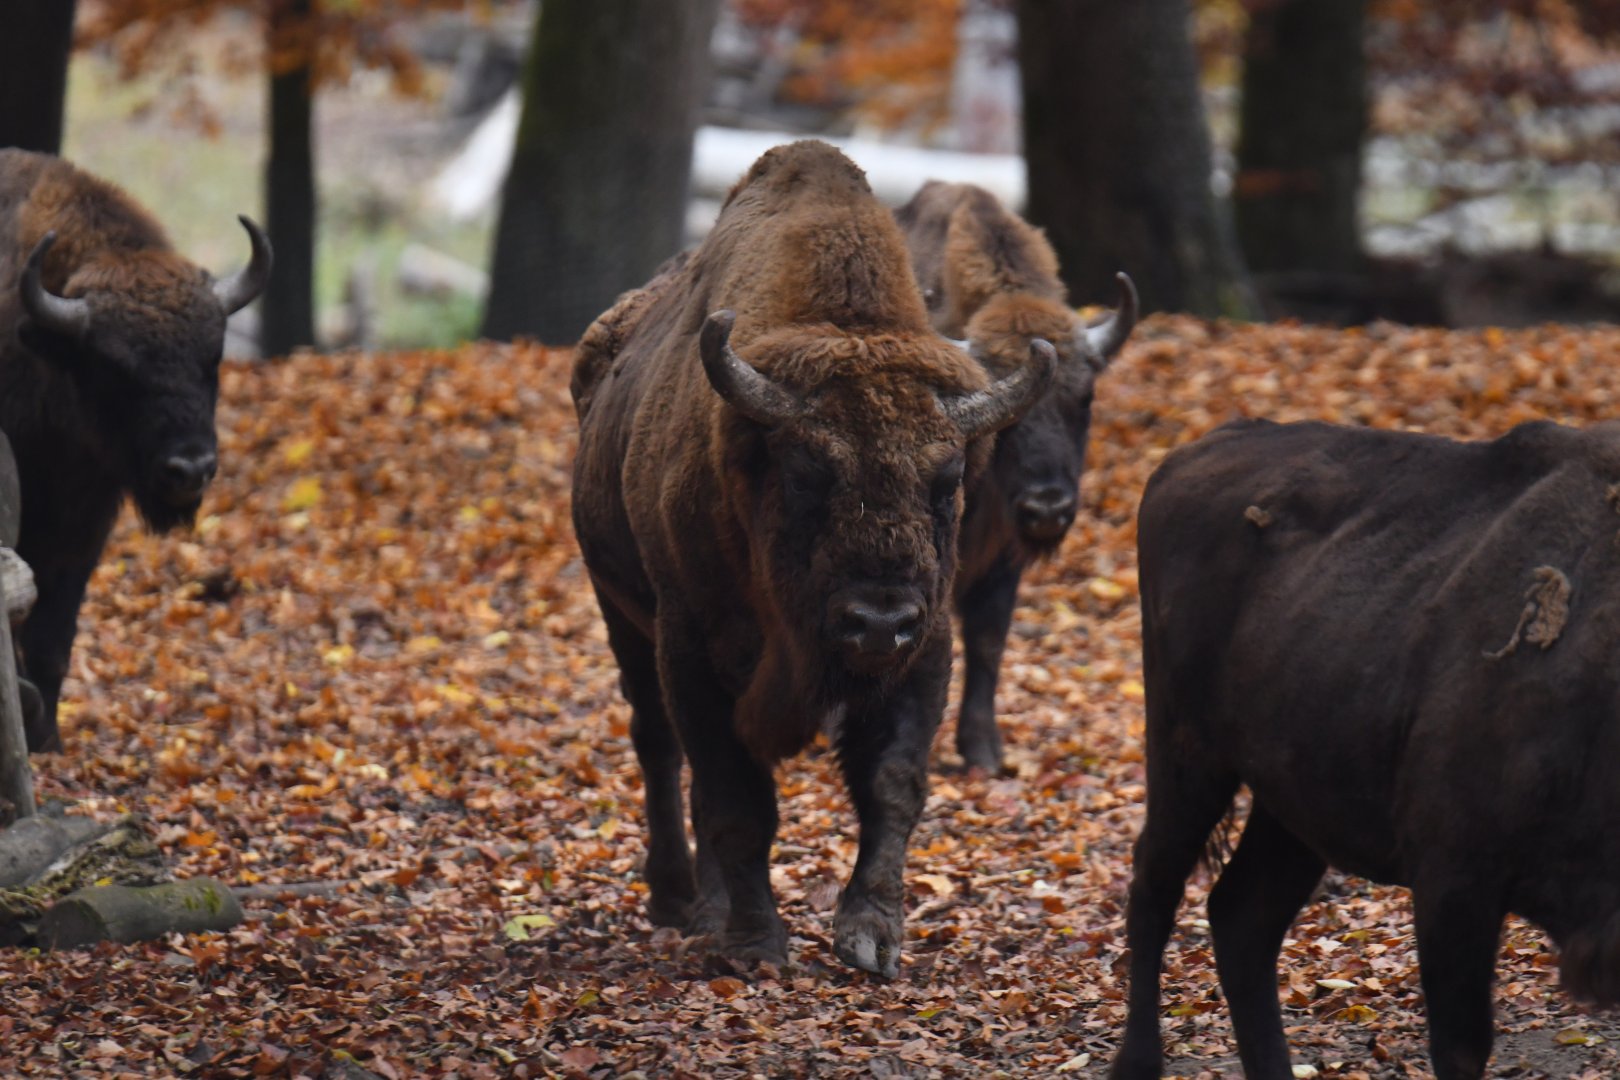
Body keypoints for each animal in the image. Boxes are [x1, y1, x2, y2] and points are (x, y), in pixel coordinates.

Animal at [0, 149, 271, 751]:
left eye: (214, 357)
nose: (190, 469)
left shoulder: (81, 535)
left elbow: (53, 640)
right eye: (114, 368)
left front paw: (49, 743)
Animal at [571, 142, 1054, 975]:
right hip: (621, 611)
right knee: (659, 747)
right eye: (805, 472)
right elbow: (736, 801)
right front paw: (758, 945)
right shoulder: (689, 647)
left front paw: (871, 936)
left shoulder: (927, 649)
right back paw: (680, 901)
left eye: (948, 477)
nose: (878, 622)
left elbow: (892, 784)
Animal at [895, 181, 1137, 771]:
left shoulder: (1003, 557)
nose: (1048, 508)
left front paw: (984, 750)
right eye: (1009, 416)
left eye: (1086, 397)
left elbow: (988, 639)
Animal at [1115, 417, 1620, 1079]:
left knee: (1241, 915)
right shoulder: (1454, 882)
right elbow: (1461, 1047)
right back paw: (1135, 1062)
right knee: (1156, 883)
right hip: (1188, 756)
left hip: (1291, 802)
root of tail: (1204, 445)